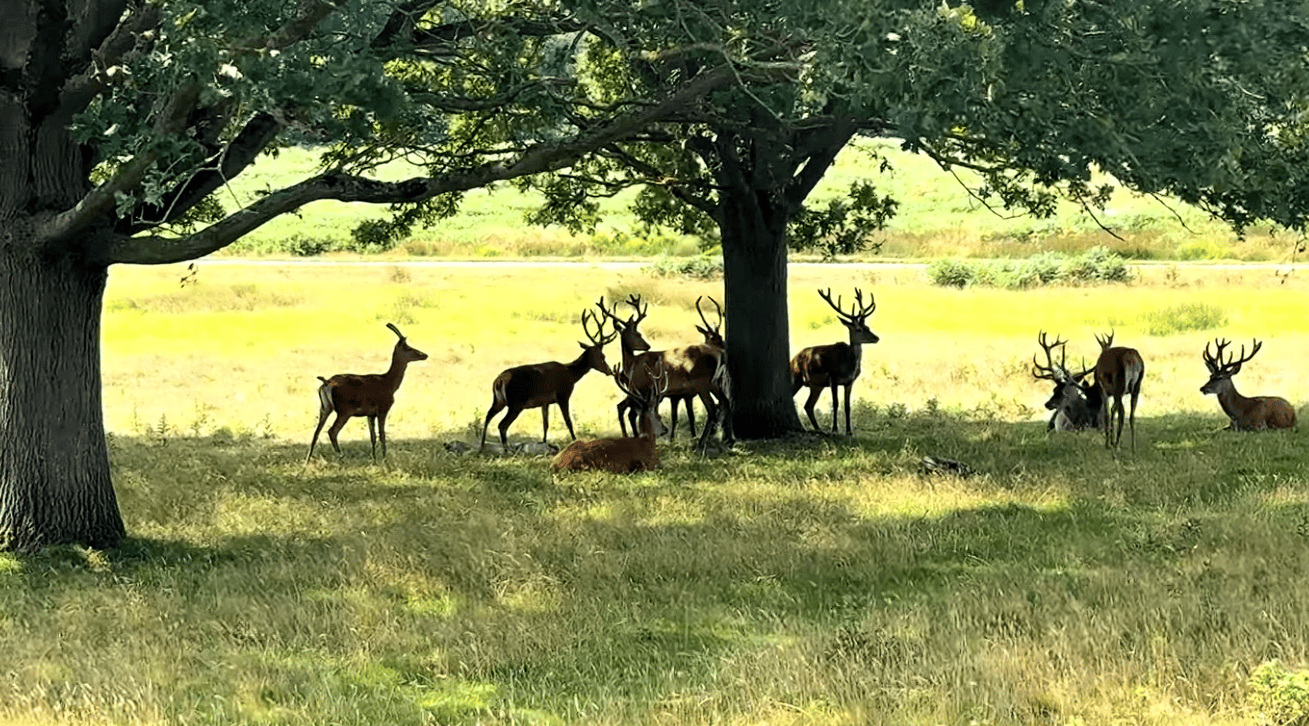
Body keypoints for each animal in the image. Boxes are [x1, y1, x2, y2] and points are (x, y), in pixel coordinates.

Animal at [307, 323, 428, 461]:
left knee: (316, 433)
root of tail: (327, 383)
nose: (424, 355)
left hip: (325, 408)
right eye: (408, 347)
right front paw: (384, 459)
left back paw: (308, 459)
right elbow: (382, 435)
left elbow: (372, 437)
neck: (389, 383)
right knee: (332, 431)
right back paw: (341, 456)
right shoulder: (383, 409)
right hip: (344, 411)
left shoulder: (370, 414)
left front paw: (374, 459)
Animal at [479, 309, 618, 453]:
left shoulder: (544, 402)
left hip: (499, 400)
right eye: (602, 356)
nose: (609, 371)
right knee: (502, 425)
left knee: (488, 416)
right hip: (516, 403)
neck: (571, 374)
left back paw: (482, 447)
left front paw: (545, 442)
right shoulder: (563, 395)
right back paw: (507, 450)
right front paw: (575, 440)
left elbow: (545, 424)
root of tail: (499, 380)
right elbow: (568, 421)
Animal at [790, 287, 879, 435]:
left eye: (868, 327)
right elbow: (836, 403)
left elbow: (847, 406)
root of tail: (793, 359)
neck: (848, 366)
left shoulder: (849, 381)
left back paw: (818, 429)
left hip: (816, 385)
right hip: (796, 377)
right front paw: (835, 429)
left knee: (808, 405)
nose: (876, 338)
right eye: (859, 329)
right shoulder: (833, 377)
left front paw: (849, 431)